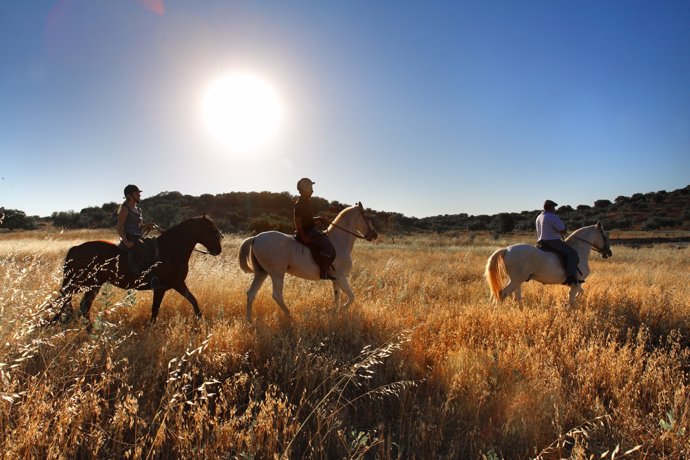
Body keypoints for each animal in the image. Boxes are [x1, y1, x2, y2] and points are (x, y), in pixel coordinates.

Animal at [51, 216, 223, 324]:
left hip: (92, 285)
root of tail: (76, 248)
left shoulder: (178, 284)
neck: (171, 249)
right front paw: (150, 329)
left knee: (81, 306)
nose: (218, 250)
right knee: (66, 299)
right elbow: (155, 310)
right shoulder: (160, 288)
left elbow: (193, 301)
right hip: (80, 284)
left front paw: (201, 323)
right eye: (212, 230)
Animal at [236, 203, 376, 322]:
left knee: (251, 294)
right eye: (368, 217)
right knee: (277, 295)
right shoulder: (341, 277)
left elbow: (337, 298)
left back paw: (250, 321)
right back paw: (290, 316)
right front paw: (340, 311)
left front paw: (334, 314)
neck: (338, 242)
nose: (375, 235)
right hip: (277, 274)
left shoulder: (336, 279)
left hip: (261, 273)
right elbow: (351, 297)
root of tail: (255, 238)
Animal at [482, 223, 612, 306]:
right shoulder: (576, 283)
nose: (609, 253)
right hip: (516, 280)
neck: (579, 248)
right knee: (502, 294)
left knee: (516, 297)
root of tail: (506, 249)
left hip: (516, 281)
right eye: (605, 236)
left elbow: (579, 294)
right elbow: (572, 299)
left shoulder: (576, 284)